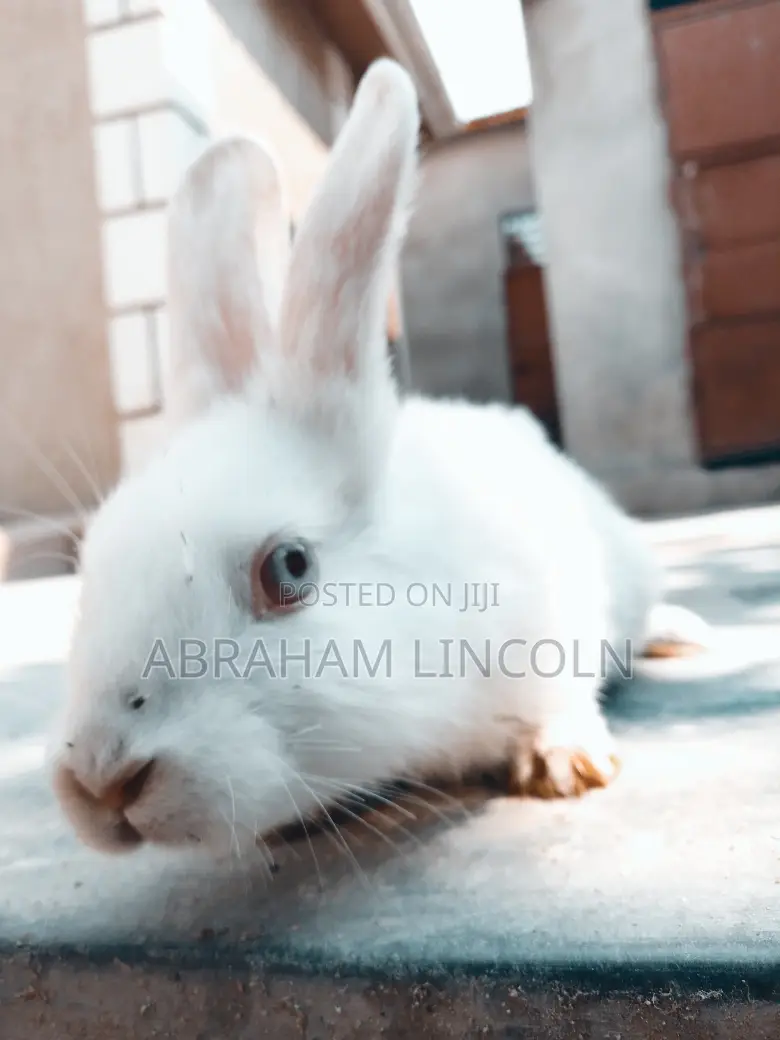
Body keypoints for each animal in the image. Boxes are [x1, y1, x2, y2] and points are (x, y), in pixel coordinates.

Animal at [49, 58, 709, 858]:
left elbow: (561, 695)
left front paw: (563, 763)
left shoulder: (554, 623)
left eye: (290, 568)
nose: (100, 778)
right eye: (87, 568)